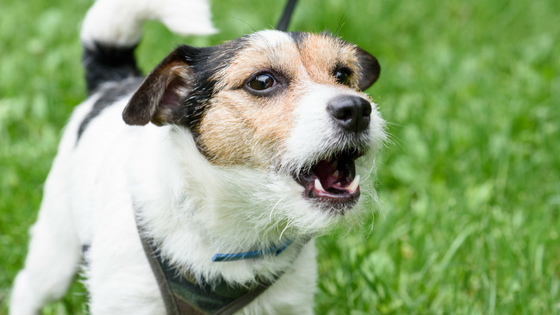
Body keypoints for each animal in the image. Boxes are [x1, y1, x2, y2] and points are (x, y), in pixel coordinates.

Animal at [9, 0, 384, 314]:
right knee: (27, 287)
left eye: (343, 75)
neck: (233, 231)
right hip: (55, 254)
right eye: (262, 81)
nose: (356, 110)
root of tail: (113, 82)